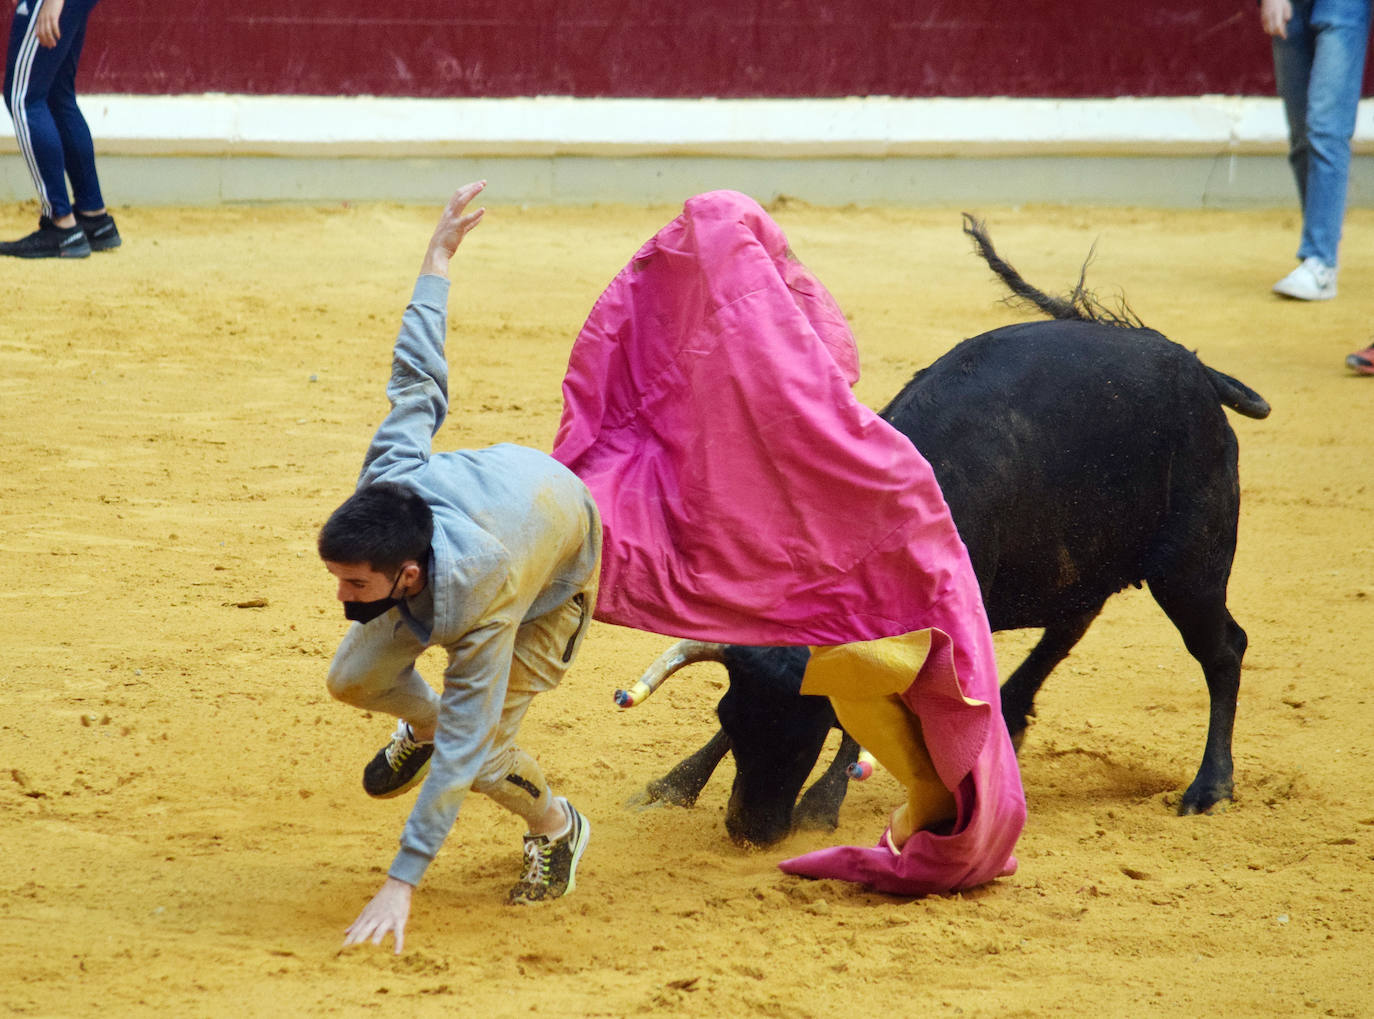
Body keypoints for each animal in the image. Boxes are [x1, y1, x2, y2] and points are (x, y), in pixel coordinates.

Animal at [623, 219, 1264, 851]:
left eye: (811, 727)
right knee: (1072, 623)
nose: (749, 832)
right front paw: (674, 784)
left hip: (1190, 568)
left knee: (1222, 648)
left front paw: (821, 806)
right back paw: (1011, 719)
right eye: (727, 716)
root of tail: (1192, 366)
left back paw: (1210, 788)